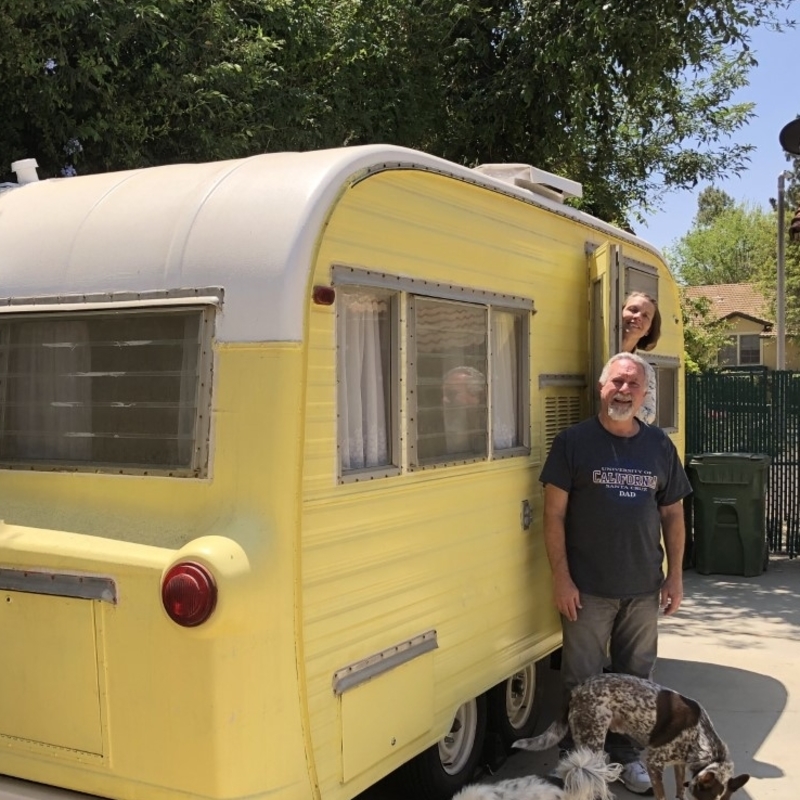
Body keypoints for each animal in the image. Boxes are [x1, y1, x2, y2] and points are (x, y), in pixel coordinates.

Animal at [512, 676, 752, 800]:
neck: (701, 735)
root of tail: (577, 689)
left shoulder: (679, 764)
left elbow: (679, 788)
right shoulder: (654, 763)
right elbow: (662, 795)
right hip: (592, 740)